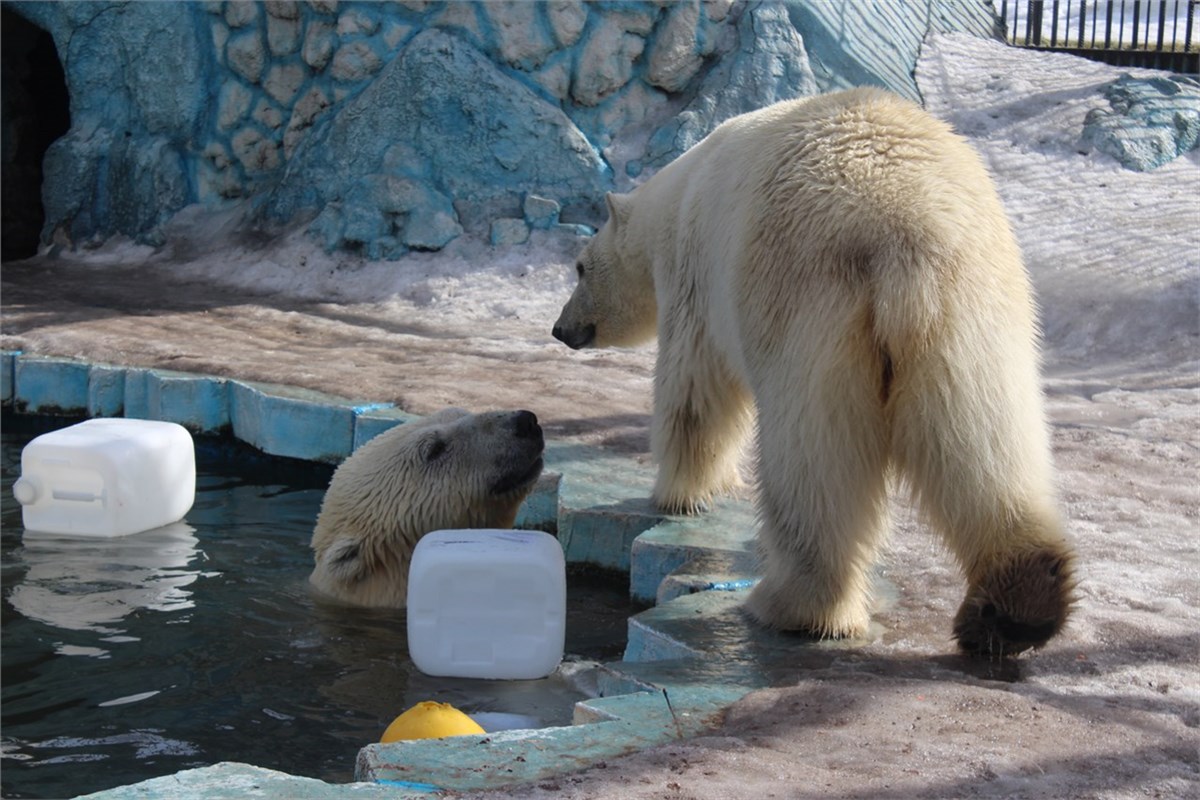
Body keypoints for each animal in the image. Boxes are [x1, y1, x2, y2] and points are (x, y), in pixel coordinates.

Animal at [554, 87, 1080, 652]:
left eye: (580, 267)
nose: (560, 328)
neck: (678, 194)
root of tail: (907, 234)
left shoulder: (695, 279)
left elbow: (694, 390)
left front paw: (678, 494)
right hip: (974, 311)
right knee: (982, 439)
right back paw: (1017, 606)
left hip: (811, 307)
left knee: (811, 462)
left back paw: (791, 605)